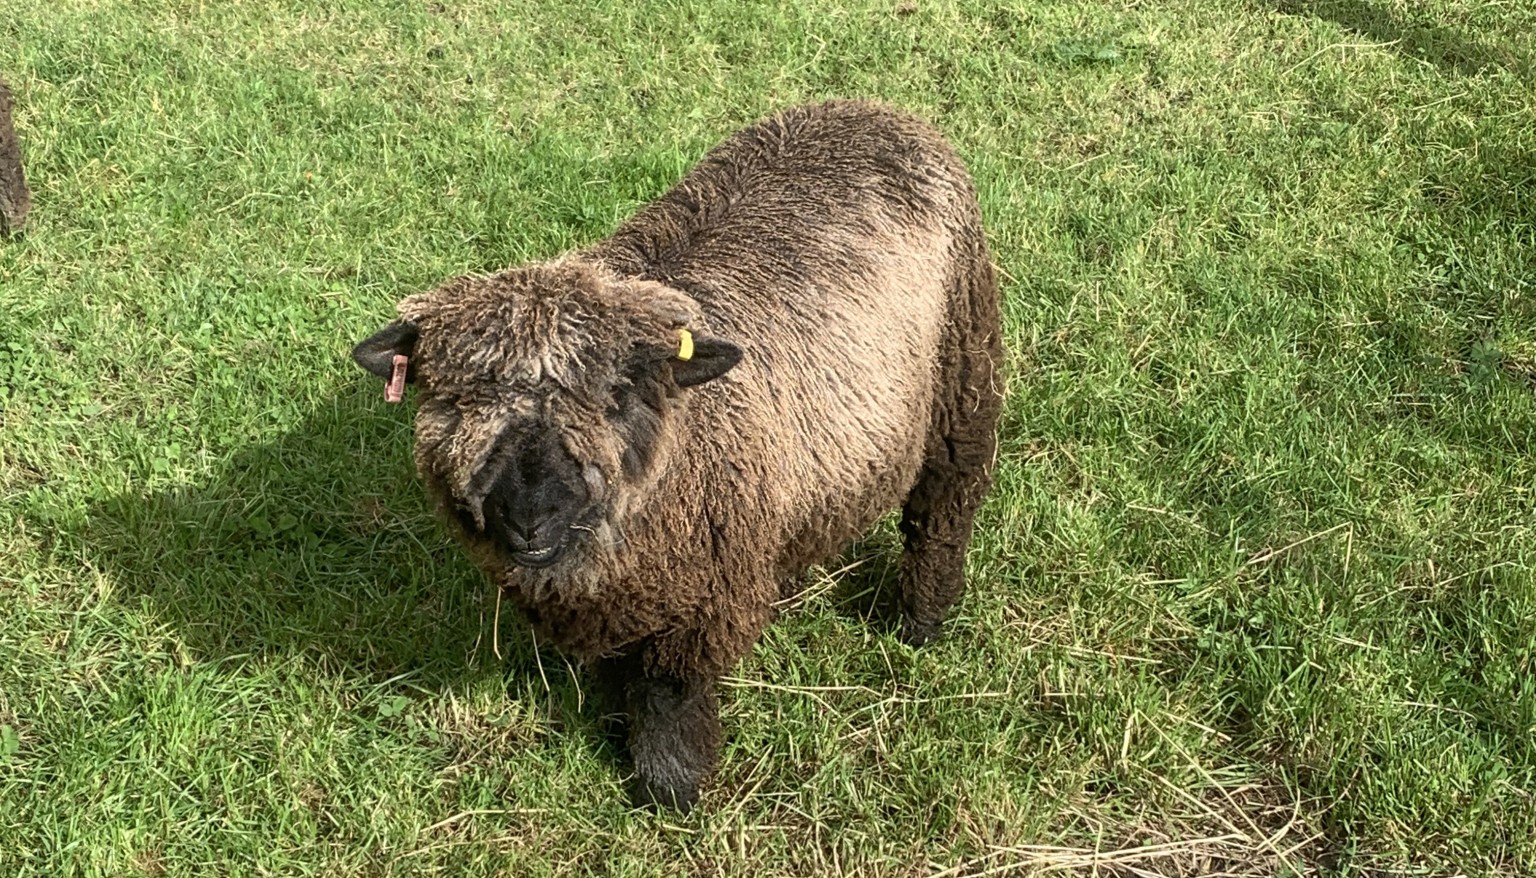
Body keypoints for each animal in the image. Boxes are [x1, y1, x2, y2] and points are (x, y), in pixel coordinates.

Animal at [353, 100, 1003, 811]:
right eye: (452, 399)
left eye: (619, 394)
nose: (529, 517)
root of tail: (872, 108)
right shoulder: (622, 603)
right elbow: (618, 674)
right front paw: (617, 733)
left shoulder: (698, 610)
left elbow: (669, 695)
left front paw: (671, 791)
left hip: (963, 376)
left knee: (944, 508)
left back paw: (921, 620)